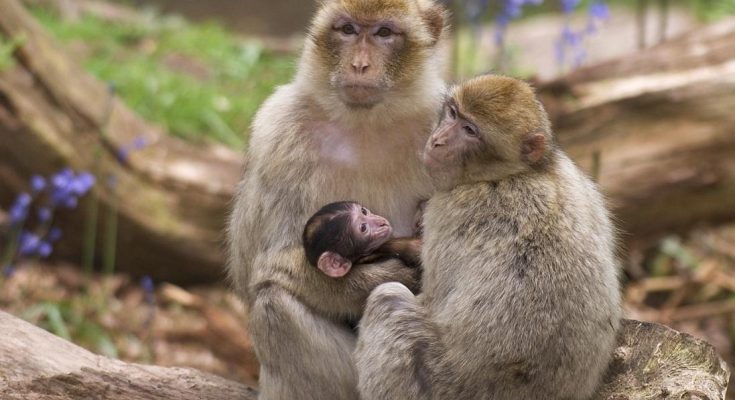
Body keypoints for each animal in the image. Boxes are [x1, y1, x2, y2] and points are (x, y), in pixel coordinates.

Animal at [227, 0, 448, 400]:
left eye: (384, 33)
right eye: (347, 30)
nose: (359, 64)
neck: (366, 123)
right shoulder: (277, 133)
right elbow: (263, 267)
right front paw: (384, 275)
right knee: (273, 306)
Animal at [356, 76, 620, 400]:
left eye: (470, 131)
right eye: (453, 113)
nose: (438, 140)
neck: (516, 173)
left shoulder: (450, 210)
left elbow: (430, 297)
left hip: (443, 385)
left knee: (388, 301)